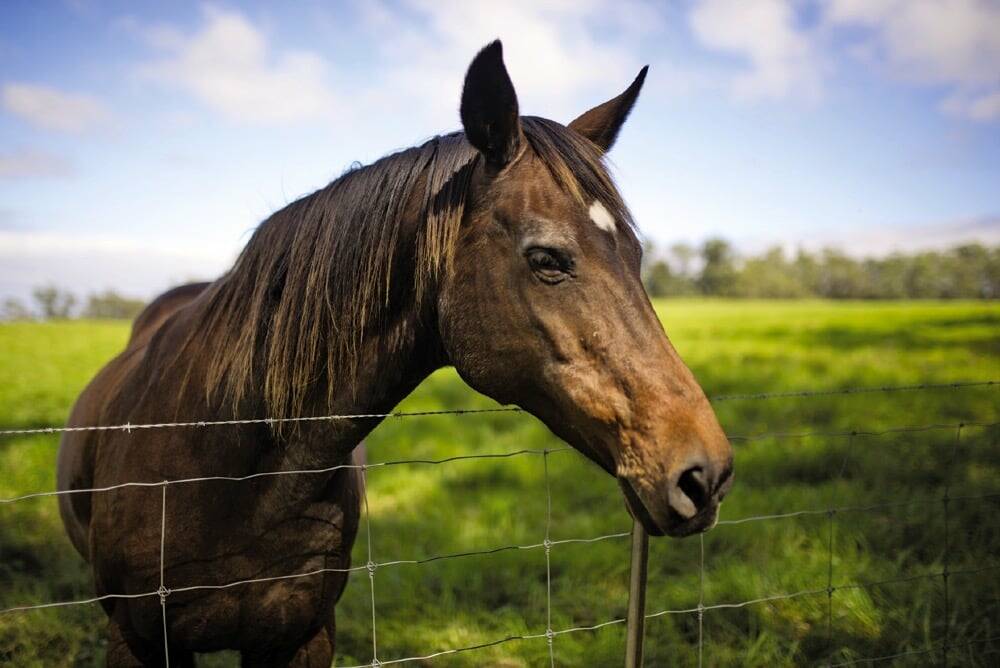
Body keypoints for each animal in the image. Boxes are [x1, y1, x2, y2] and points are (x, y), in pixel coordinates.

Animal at [56, 41, 733, 666]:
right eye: (546, 259)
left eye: (637, 257)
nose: (706, 474)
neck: (228, 462)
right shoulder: (138, 641)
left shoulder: (302, 636)